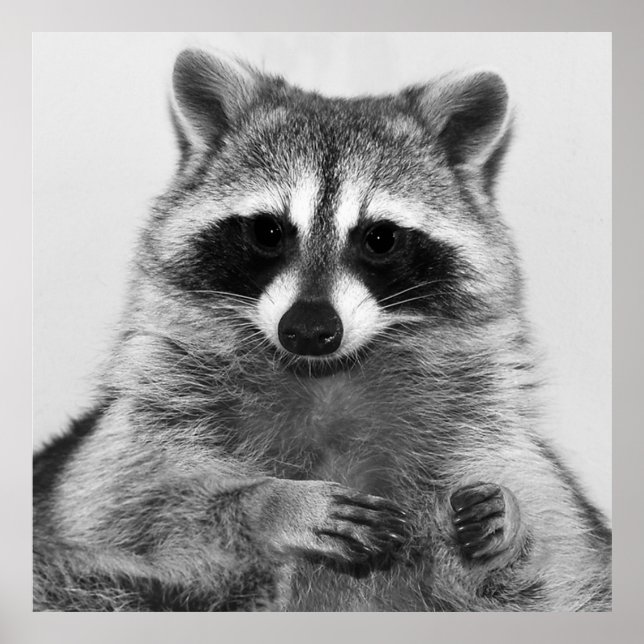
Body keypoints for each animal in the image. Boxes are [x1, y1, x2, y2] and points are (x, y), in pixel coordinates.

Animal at [33, 48, 612, 611]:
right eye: (268, 231)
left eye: (380, 238)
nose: (309, 330)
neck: (326, 375)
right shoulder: (149, 422)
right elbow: (126, 508)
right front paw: (271, 504)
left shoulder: (482, 430)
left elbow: (556, 557)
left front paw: (512, 529)